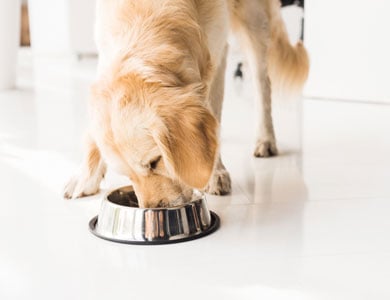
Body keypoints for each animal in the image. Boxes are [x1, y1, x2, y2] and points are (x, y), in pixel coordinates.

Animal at [63, 0, 308, 207]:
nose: (154, 210)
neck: (147, 16)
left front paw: (214, 173)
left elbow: (213, 113)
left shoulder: (215, 52)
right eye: (127, 175)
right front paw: (85, 176)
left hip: (253, 19)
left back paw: (265, 139)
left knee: (262, 82)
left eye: (155, 162)